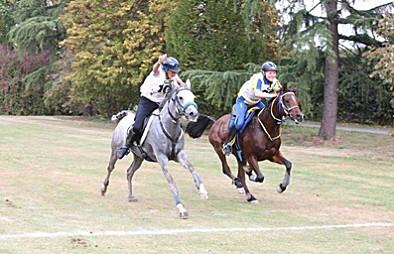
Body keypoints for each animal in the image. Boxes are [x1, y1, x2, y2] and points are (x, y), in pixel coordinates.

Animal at [100, 81, 208, 218]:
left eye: (193, 98)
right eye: (180, 97)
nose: (193, 113)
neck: (169, 127)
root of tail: (126, 116)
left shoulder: (179, 155)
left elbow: (192, 169)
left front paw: (202, 191)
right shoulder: (162, 158)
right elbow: (171, 182)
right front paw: (181, 208)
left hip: (139, 157)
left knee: (129, 172)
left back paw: (130, 196)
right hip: (115, 152)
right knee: (110, 168)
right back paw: (103, 189)